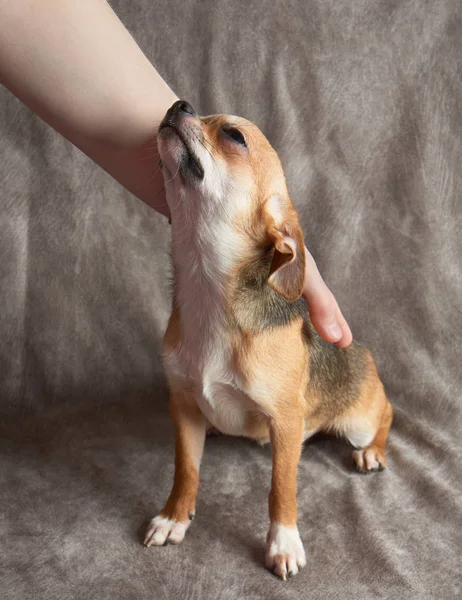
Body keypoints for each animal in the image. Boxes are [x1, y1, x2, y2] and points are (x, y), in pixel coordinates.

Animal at [144, 101, 394, 580]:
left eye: (233, 136)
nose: (178, 104)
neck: (207, 287)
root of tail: (367, 354)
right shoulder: (182, 406)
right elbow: (186, 471)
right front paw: (174, 516)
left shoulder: (285, 420)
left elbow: (282, 488)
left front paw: (283, 542)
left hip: (358, 421)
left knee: (387, 414)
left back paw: (372, 452)